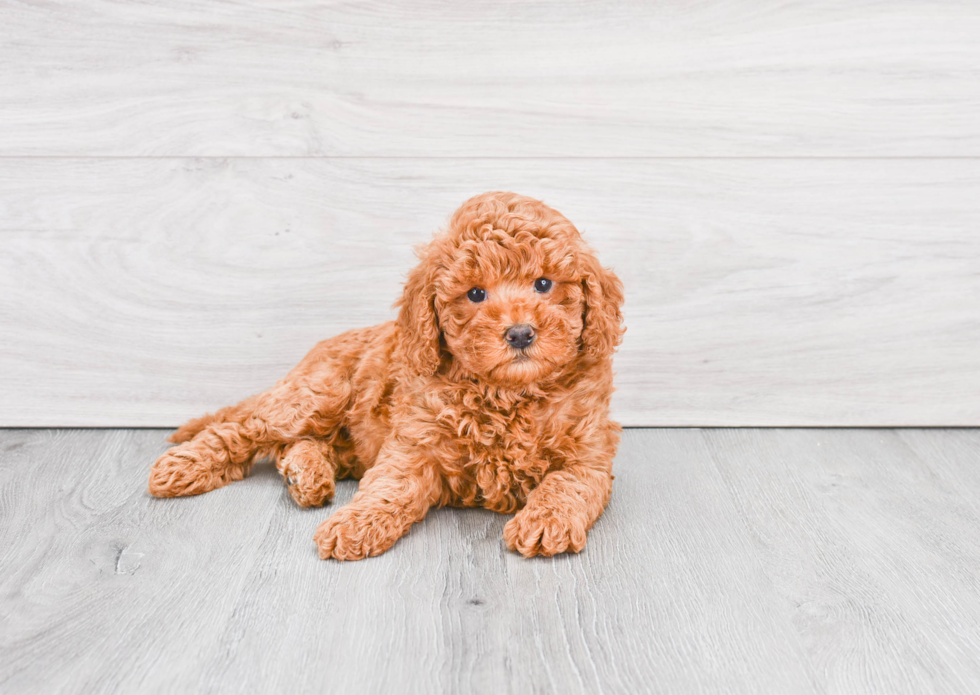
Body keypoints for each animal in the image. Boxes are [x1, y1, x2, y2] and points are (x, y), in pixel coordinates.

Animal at [149, 190, 624, 560]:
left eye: (544, 284)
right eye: (475, 294)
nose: (521, 333)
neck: (507, 395)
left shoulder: (588, 455)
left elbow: (565, 485)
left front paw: (545, 522)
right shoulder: (415, 444)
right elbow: (389, 486)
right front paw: (355, 524)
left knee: (296, 445)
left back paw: (307, 476)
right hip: (315, 395)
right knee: (244, 428)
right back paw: (182, 466)